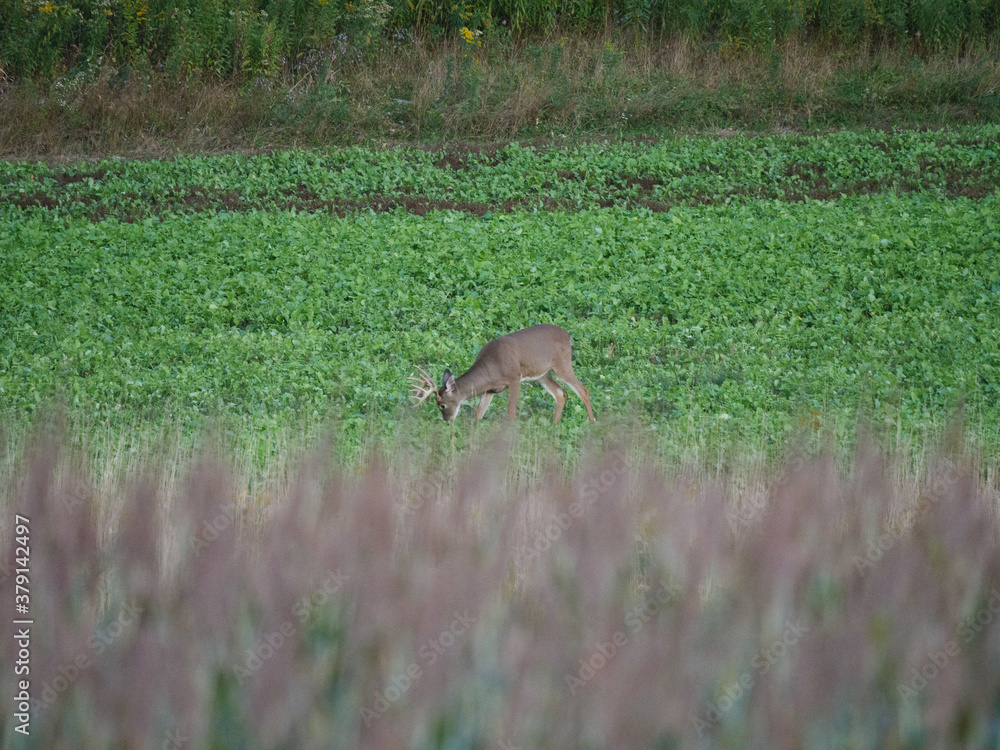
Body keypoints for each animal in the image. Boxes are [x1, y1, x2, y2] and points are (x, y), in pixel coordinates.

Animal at [409, 325, 596, 424]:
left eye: (442, 405)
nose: (447, 421)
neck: (491, 368)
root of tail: (568, 335)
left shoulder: (514, 378)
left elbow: (510, 413)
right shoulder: (489, 390)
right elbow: (478, 414)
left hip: (563, 364)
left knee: (583, 390)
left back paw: (592, 421)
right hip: (543, 375)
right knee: (561, 393)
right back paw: (554, 424)